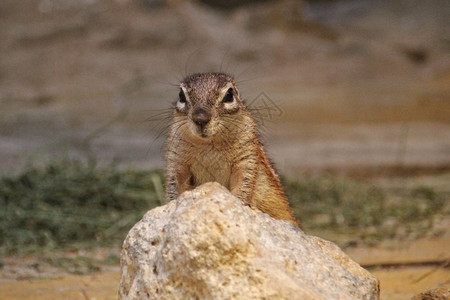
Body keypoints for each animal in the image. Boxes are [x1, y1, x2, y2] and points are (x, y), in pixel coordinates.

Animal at [163, 72, 298, 226]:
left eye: (229, 95)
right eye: (181, 95)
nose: (201, 118)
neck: (209, 144)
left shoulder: (246, 156)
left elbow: (243, 184)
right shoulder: (177, 160)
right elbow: (175, 187)